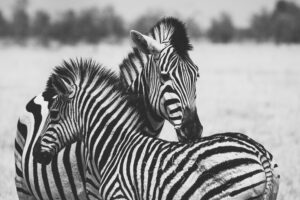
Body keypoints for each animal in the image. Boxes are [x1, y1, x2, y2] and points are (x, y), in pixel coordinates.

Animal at [15, 17, 204, 200]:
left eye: (196, 75)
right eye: (164, 77)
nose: (193, 130)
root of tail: (47, 92)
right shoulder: (94, 190)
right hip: (23, 186)